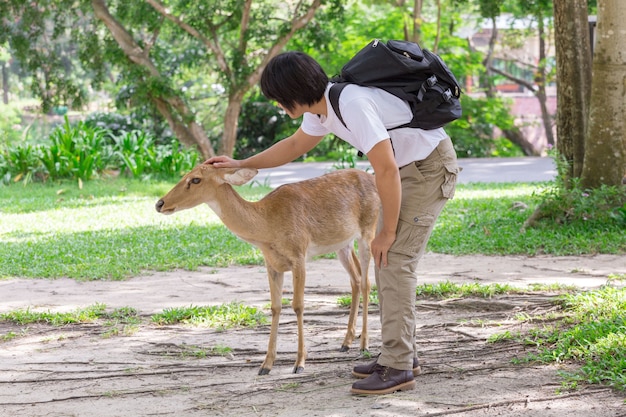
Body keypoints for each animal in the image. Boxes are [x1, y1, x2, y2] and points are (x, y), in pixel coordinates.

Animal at [156, 164, 380, 376]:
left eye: (195, 179)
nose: (160, 203)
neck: (267, 227)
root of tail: (372, 179)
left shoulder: (299, 255)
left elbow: (298, 305)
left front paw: (300, 363)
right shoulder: (271, 263)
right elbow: (275, 307)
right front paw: (266, 365)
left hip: (368, 230)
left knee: (367, 282)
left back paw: (364, 344)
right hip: (343, 244)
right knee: (355, 279)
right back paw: (346, 342)